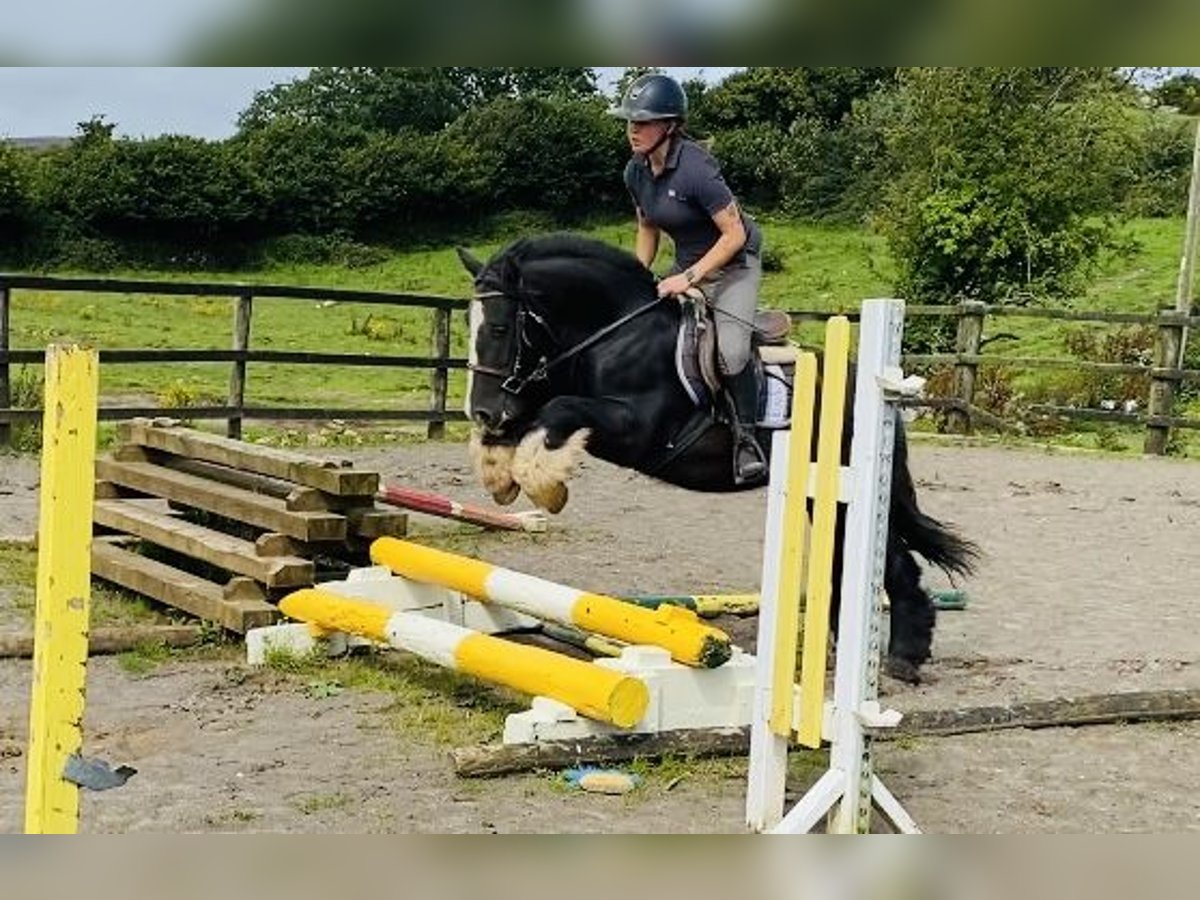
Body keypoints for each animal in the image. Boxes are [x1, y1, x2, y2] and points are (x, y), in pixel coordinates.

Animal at [456, 234, 974, 681]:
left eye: (499, 327)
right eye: (469, 325)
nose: (482, 410)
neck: (613, 332)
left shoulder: (638, 430)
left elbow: (558, 409)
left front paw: (542, 483)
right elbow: (533, 415)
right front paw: (500, 471)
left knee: (894, 562)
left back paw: (904, 657)